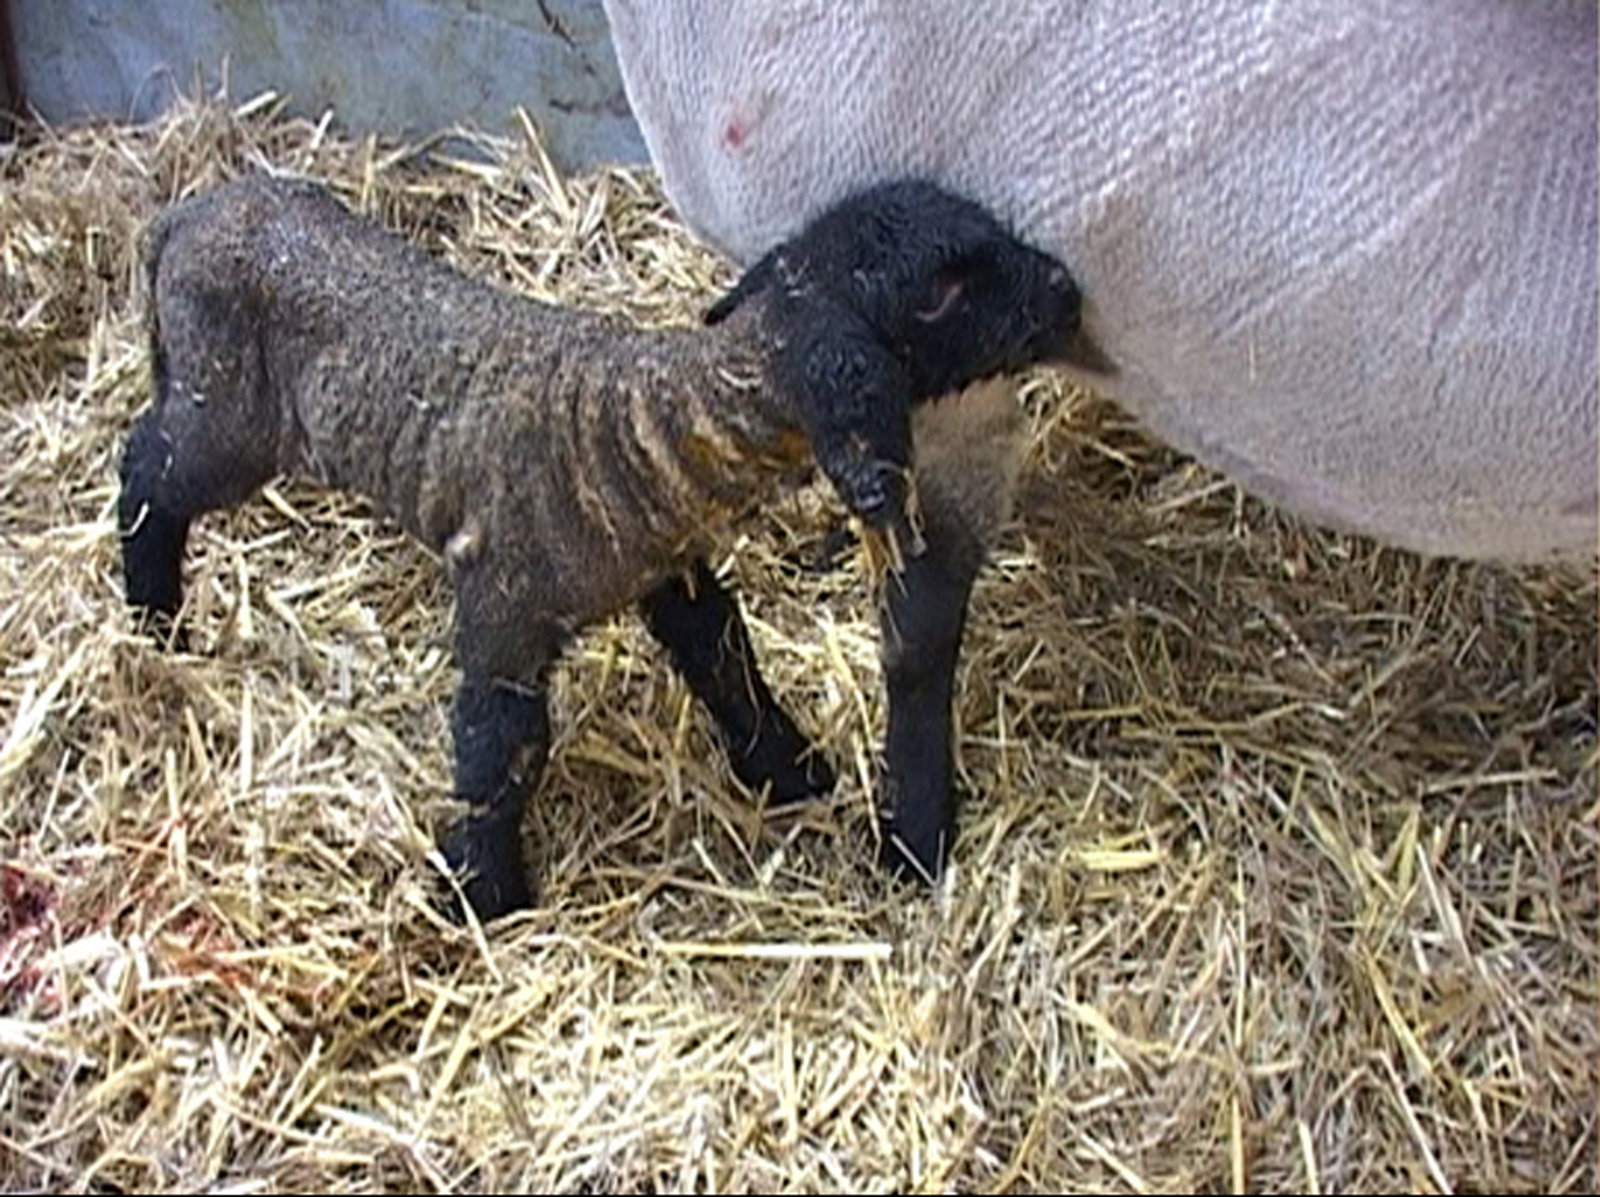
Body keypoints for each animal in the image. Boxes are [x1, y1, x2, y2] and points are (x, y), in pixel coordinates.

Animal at [117, 172, 1087, 922]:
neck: (640, 431)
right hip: (226, 413)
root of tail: (180, 219)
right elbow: (499, 746)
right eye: (941, 291)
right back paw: (153, 614)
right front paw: (485, 897)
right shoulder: (504, 607)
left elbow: (723, 654)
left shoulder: (668, 569)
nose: (1068, 290)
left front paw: (789, 769)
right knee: (145, 469)